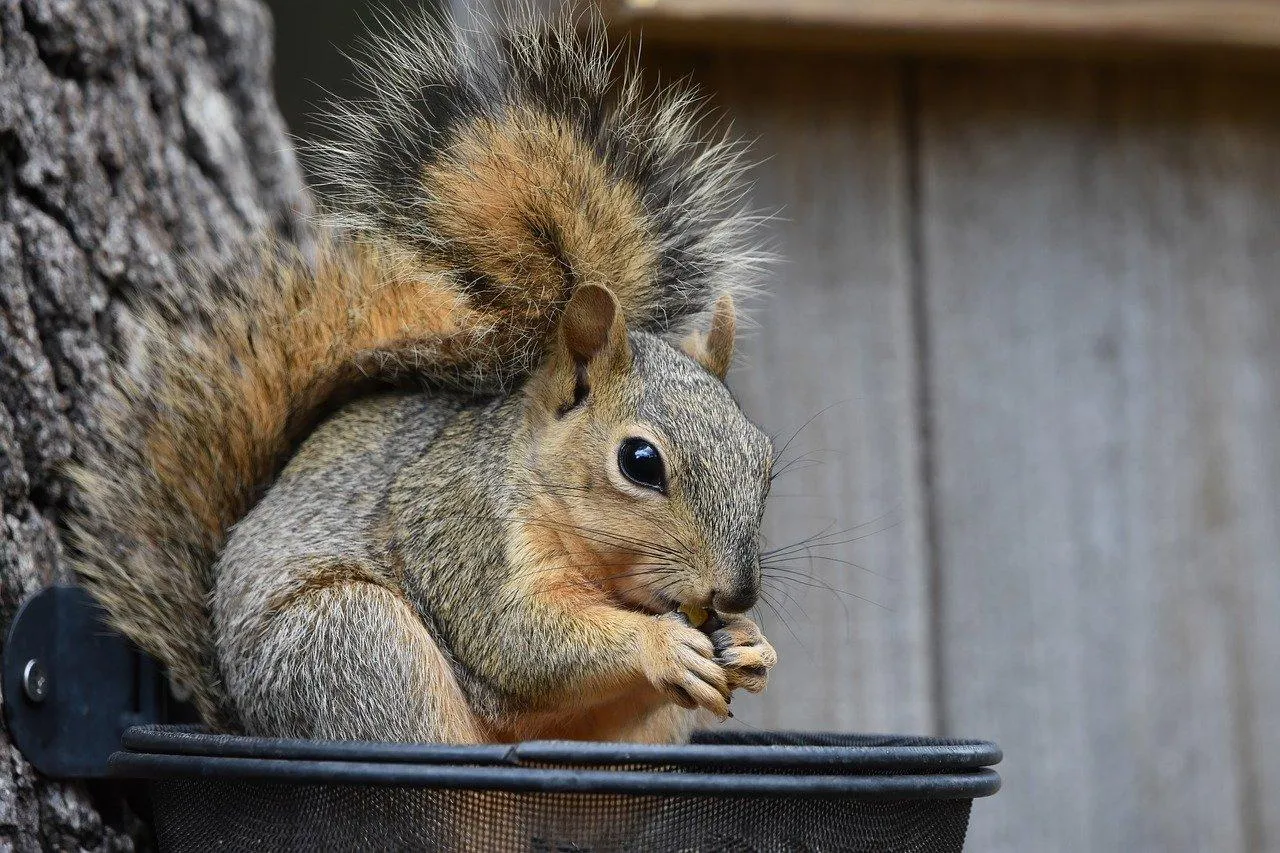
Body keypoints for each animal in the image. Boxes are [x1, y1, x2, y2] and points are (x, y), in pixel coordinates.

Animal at [66, 6, 777, 744]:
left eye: (765, 461)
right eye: (640, 461)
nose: (737, 592)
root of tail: (244, 714)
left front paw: (750, 642)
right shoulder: (463, 537)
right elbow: (521, 644)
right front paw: (659, 643)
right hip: (357, 642)